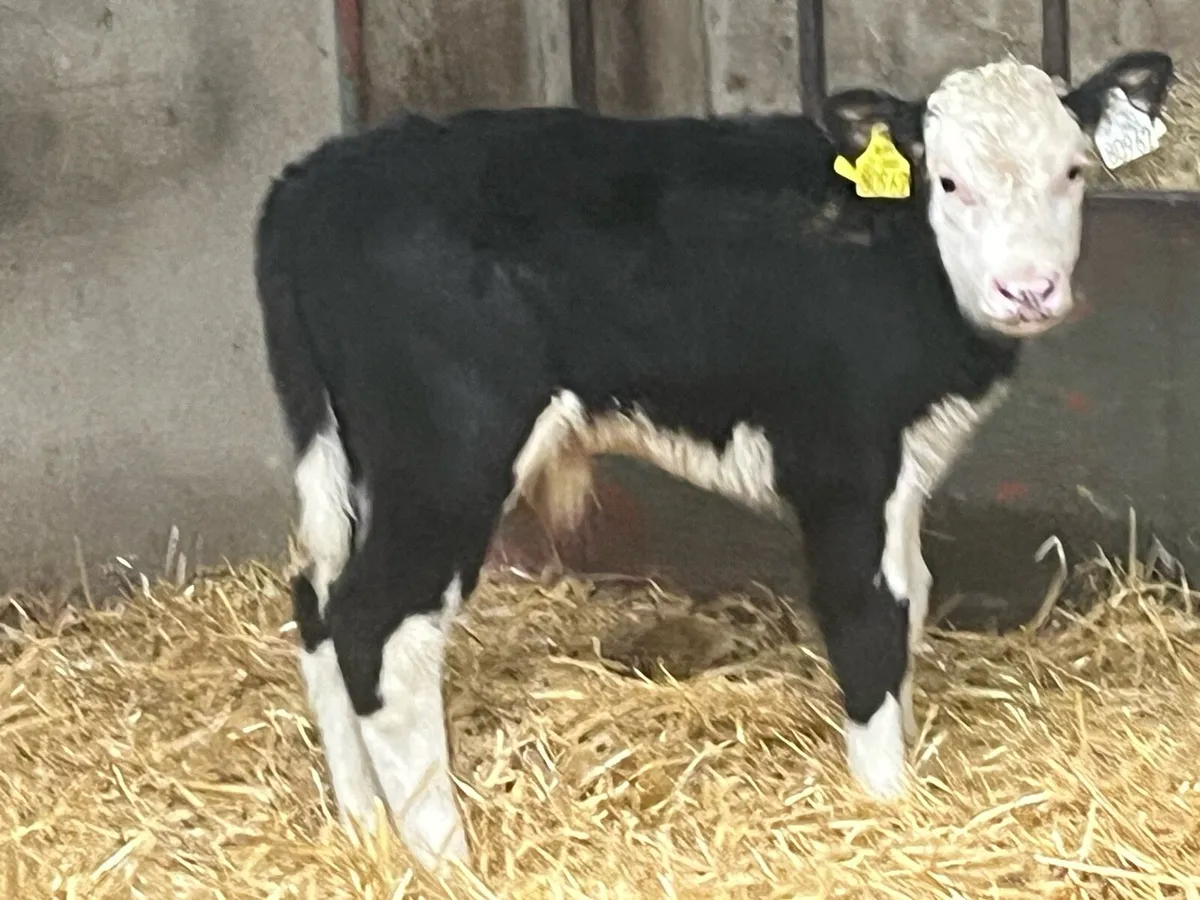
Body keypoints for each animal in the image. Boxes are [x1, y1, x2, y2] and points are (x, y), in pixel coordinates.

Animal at [254, 50, 1174, 869]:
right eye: (948, 183)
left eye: (1074, 171)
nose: (1029, 290)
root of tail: (313, 177)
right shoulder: (841, 458)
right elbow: (869, 613)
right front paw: (886, 804)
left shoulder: (905, 468)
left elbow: (912, 593)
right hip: (449, 449)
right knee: (380, 622)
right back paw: (443, 857)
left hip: (352, 453)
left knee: (320, 601)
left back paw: (365, 825)